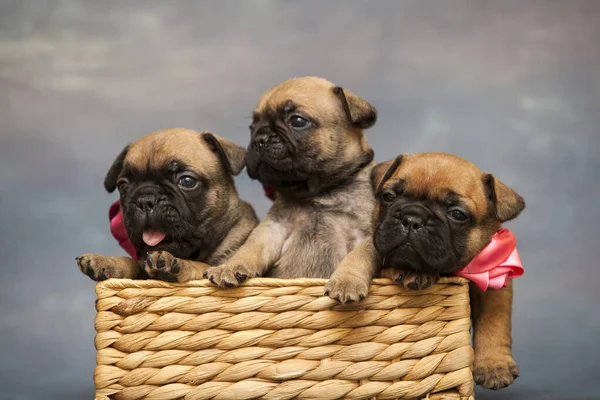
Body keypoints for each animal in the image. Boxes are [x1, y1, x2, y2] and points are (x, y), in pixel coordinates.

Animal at [76, 128, 258, 282]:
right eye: (123, 186)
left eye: (187, 181)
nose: (145, 200)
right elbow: (131, 262)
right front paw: (106, 261)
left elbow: (202, 266)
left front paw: (176, 262)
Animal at [204, 76, 378, 288]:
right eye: (252, 127)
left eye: (298, 121)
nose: (259, 138)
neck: (321, 192)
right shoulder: (273, 228)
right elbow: (250, 248)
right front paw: (229, 267)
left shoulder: (369, 234)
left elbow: (358, 256)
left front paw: (346, 282)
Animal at [328, 152, 524, 390]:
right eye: (388, 196)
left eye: (457, 214)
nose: (412, 218)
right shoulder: (379, 244)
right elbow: (365, 253)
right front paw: (348, 280)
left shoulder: (496, 284)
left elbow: (494, 321)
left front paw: (494, 365)